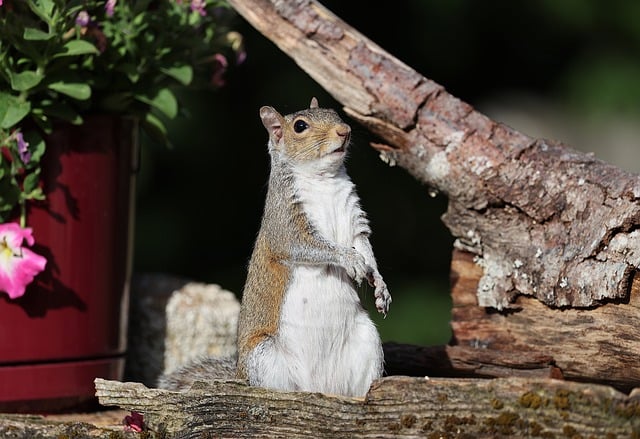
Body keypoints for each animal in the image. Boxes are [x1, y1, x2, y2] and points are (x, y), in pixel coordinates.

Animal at [159, 98, 391, 397]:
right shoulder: (285, 224)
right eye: (300, 126)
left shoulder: (355, 220)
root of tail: (319, 387)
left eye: (334, 113)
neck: (323, 180)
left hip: (367, 343)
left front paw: (380, 285)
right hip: (265, 356)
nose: (345, 131)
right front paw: (348, 259)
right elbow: (308, 246)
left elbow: (365, 247)